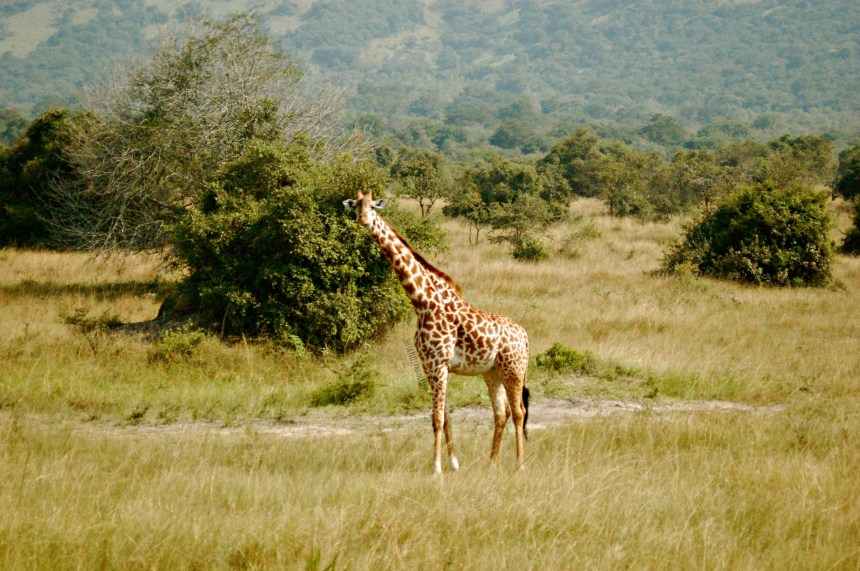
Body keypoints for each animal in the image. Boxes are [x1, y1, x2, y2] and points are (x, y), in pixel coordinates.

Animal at [344, 190, 530, 475]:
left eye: (373, 206)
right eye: (355, 206)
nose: (363, 220)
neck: (422, 301)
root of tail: (525, 336)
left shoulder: (439, 363)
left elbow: (437, 418)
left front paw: (436, 468)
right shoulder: (431, 366)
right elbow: (445, 417)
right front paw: (454, 464)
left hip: (514, 370)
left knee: (519, 411)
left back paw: (519, 465)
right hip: (492, 373)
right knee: (502, 413)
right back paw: (491, 464)